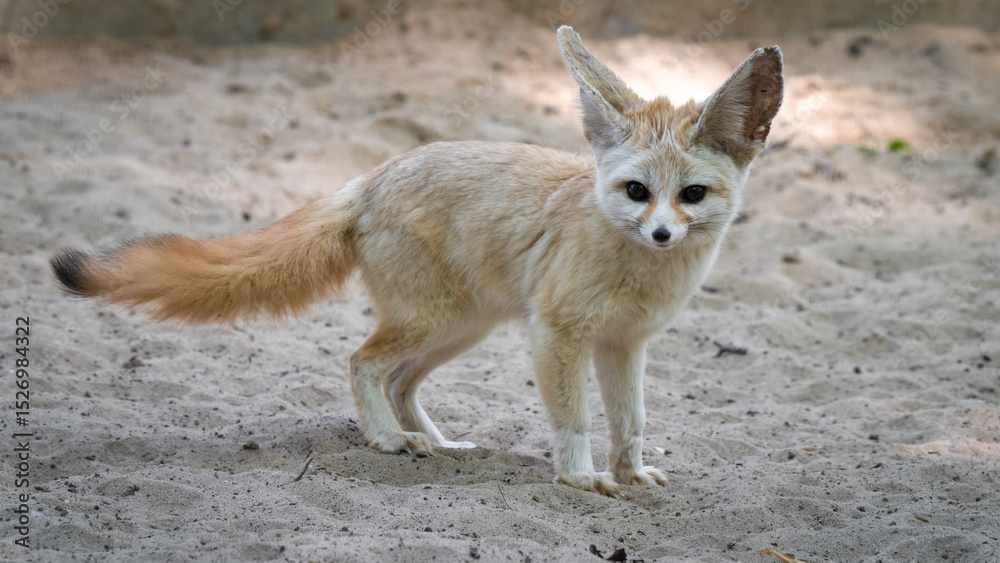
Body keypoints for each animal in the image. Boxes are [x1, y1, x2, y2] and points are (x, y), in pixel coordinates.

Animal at [51, 26, 782, 496]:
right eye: (636, 192)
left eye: (691, 195)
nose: (661, 234)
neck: (639, 268)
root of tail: (372, 176)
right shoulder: (560, 336)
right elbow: (575, 421)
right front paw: (579, 477)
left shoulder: (625, 343)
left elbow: (631, 423)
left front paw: (631, 474)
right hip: (436, 322)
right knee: (362, 364)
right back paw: (388, 441)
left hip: (461, 329)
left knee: (401, 382)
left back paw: (436, 442)